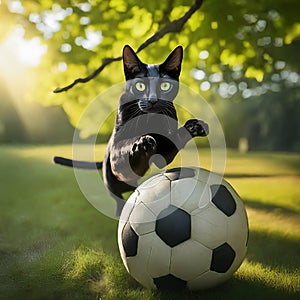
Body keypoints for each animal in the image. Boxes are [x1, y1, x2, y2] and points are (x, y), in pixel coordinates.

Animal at [54, 45, 209, 216]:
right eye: (140, 85)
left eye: (165, 86)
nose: (153, 100)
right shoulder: (117, 151)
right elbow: (125, 146)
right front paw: (142, 142)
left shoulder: (164, 156)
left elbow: (173, 138)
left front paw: (195, 126)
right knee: (118, 197)